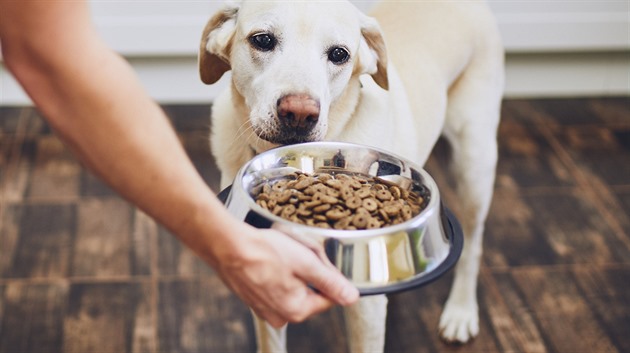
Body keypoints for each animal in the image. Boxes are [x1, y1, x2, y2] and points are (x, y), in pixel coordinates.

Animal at [200, 0, 506, 350]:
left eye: (339, 54)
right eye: (262, 40)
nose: (299, 113)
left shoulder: (365, 309)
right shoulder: (267, 285)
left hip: (474, 164)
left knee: (473, 244)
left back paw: (460, 311)